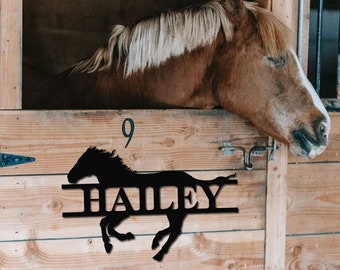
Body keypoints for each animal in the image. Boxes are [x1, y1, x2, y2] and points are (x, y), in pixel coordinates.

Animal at [67, 146, 238, 262]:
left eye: (83, 161)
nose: (69, 176)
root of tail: (190, 179)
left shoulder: (123, 211)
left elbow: (105, 224)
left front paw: (112, 243)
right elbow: (106, 224)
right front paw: (123, 237)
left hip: (175, 212)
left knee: (175, 231)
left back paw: (158, 252)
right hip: (174, 212)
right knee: (174, 229)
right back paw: (155, 242)